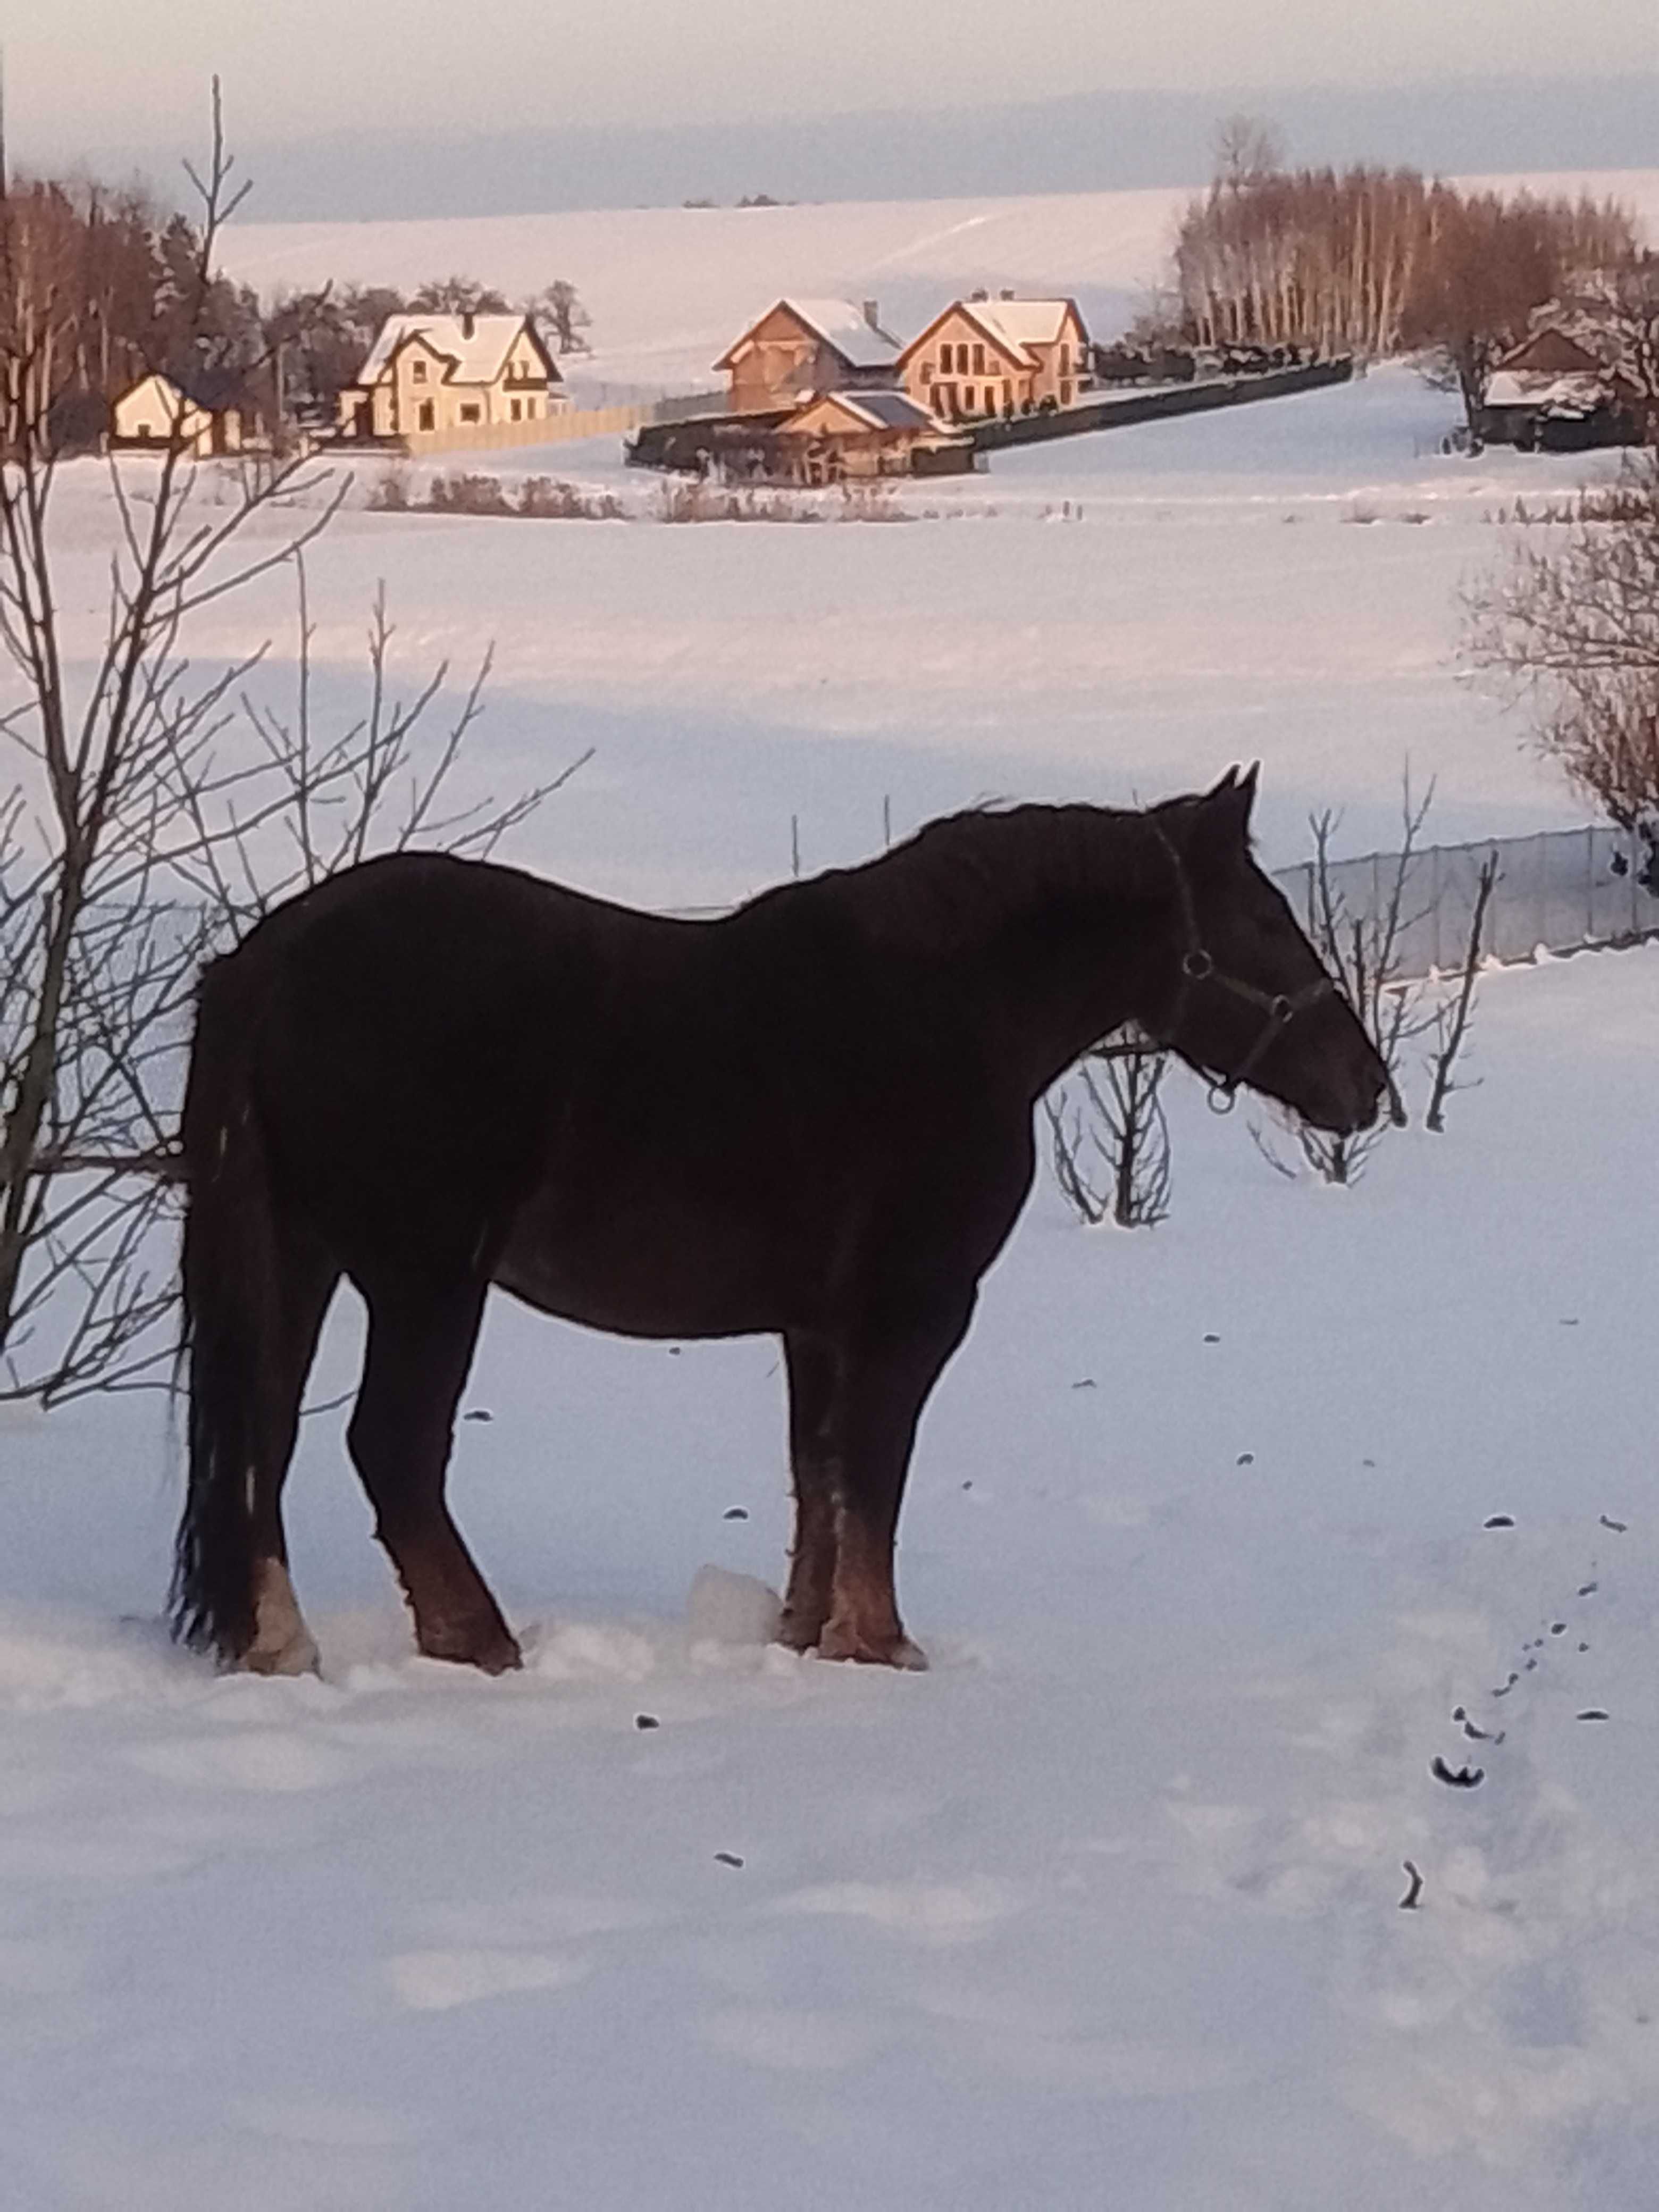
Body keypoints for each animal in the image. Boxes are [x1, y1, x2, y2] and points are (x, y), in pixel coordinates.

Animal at [172, 769, 1389, 1663]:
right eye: (1267, 918)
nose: (1367, 1085)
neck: (952, 1012)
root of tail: (273, 961)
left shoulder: (815, 1323)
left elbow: (820, 1476)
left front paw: (808, 1635)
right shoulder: (913, 1314)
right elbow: (875, 1471)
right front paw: (881, 1645)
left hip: (305, 1260)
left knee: (266, 1439)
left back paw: (285, 1643)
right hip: (425, 1280)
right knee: (391, 1448)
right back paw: (477, 1640)